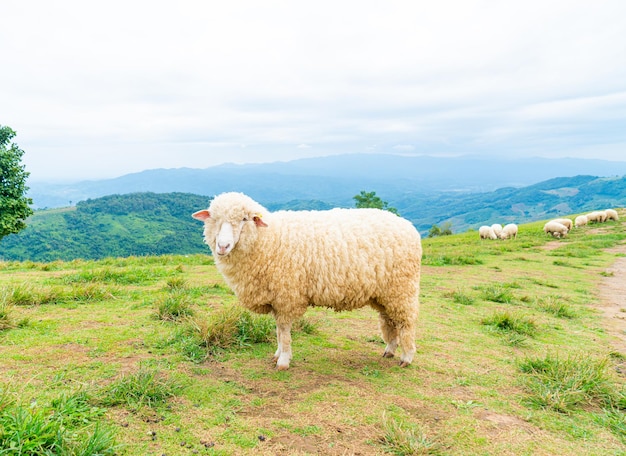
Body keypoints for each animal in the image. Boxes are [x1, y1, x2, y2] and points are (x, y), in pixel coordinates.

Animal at [193, 192, 422, 370]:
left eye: (244, 219)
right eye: (213, 218)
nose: (223, 246)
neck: (267, 239)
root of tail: (408, 225)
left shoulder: (286, 295)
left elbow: (284, 330)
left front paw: (283, 361)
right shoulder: (276, 298)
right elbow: (278, 331)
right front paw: (277, 354)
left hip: (402, 288)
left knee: (406, 323)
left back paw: (406, 357)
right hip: (384, 294)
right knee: (390, 321)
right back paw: (390, 350)